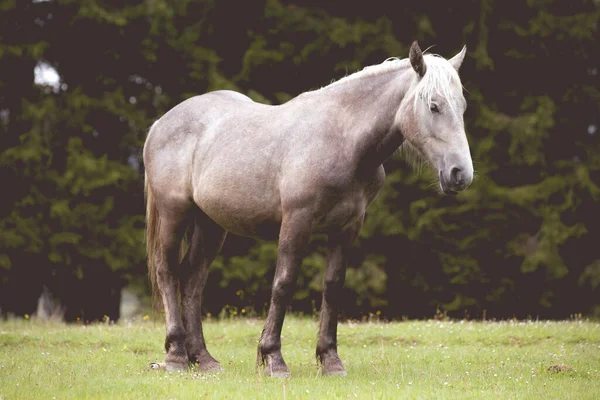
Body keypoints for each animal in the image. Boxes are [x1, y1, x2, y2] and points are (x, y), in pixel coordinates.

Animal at [144, 42, 474, 376]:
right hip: (174, 212)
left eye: (461, 107)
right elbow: (284, 283)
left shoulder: (348, 226)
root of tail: (160, 124)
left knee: (193, 278)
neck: (343, 141)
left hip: (210, 224)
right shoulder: (297, 220)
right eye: (433, 106)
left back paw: (203, 358)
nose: (460, 173)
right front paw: (273, 358)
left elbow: (333, 286)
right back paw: (176, 356)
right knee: (166, 270)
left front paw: (330, 360)